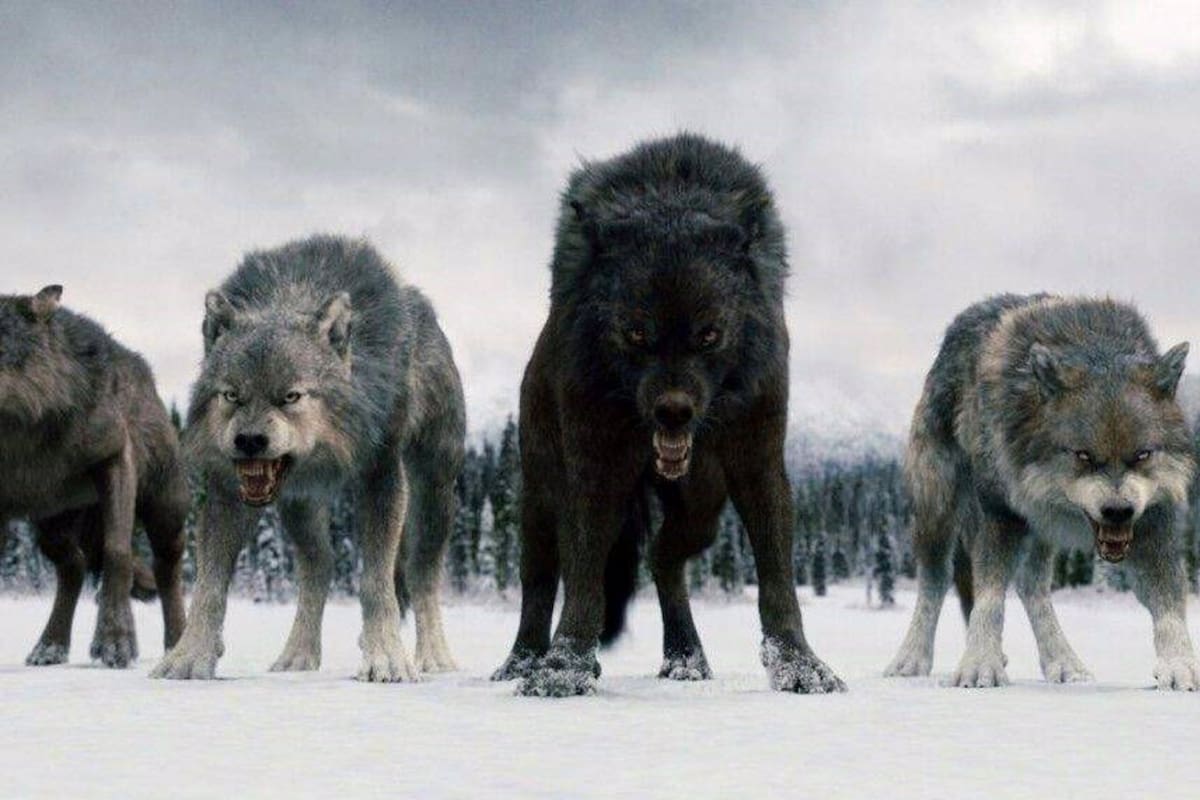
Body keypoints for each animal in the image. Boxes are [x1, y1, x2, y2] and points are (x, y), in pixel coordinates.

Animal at [0, 285, 187, 667]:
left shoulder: (114, 458)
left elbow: (117, 551)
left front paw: (115, 643)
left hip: (166, 510)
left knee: (167, 567)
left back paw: (178, 644)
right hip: (52, 525)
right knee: (74, 565)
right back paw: (49, 648)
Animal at [150, 235, 464, 681]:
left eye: (291, 396)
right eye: (232, 395)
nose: (249, 441)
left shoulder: (382, 473)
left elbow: (376, 582)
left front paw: (386, 658)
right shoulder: (226, 490)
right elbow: (209, 586)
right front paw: (188, 657)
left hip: (434, 494)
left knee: (422, 573)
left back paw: (435, 657)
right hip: (301, 507)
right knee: (320, 568)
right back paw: (297, 656)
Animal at [491, 133, 845, 696]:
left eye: (709, 335)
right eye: (636, 333)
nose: (674, 412)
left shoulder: (759, 461)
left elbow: (777, 580)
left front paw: (800, 666)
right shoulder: (594, 467)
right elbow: (584, 576)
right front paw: (563, 669)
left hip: (702, 511)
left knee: (662, 556)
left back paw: (685, 659)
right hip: (539, 496)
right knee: (541, 580)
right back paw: (524, 661)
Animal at [885, 294, 1198, 689]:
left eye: (1142, 455)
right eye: (1083, 455)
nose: (1118, 511)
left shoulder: (1153, 521)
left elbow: (1169, 602)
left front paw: (1180, 666)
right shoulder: (999, 513)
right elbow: (989, 597)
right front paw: (980, 663)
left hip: (1040, 528)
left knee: (1031, 585)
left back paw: (1064, 663)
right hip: (938, 510)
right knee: (935, 580)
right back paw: (910, 659)